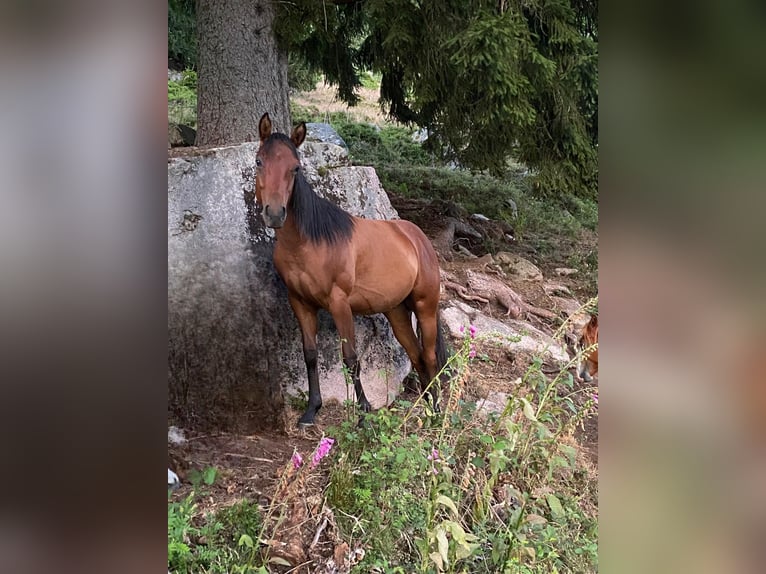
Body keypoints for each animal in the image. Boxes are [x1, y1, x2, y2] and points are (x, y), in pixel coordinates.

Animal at [255, 112, 448, 426]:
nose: (274, 213)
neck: (310, 242)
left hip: (425, 308)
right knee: (417, 356)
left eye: (295, 167)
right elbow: (310, 354)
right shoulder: (300, 302)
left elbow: (351, 358)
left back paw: (438, 415)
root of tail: (417, 238)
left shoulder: (339, 303)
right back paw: (429, 409)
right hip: (397, 313)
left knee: (430, 358)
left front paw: (364, 413)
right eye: (259, 161)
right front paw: (311, 411)